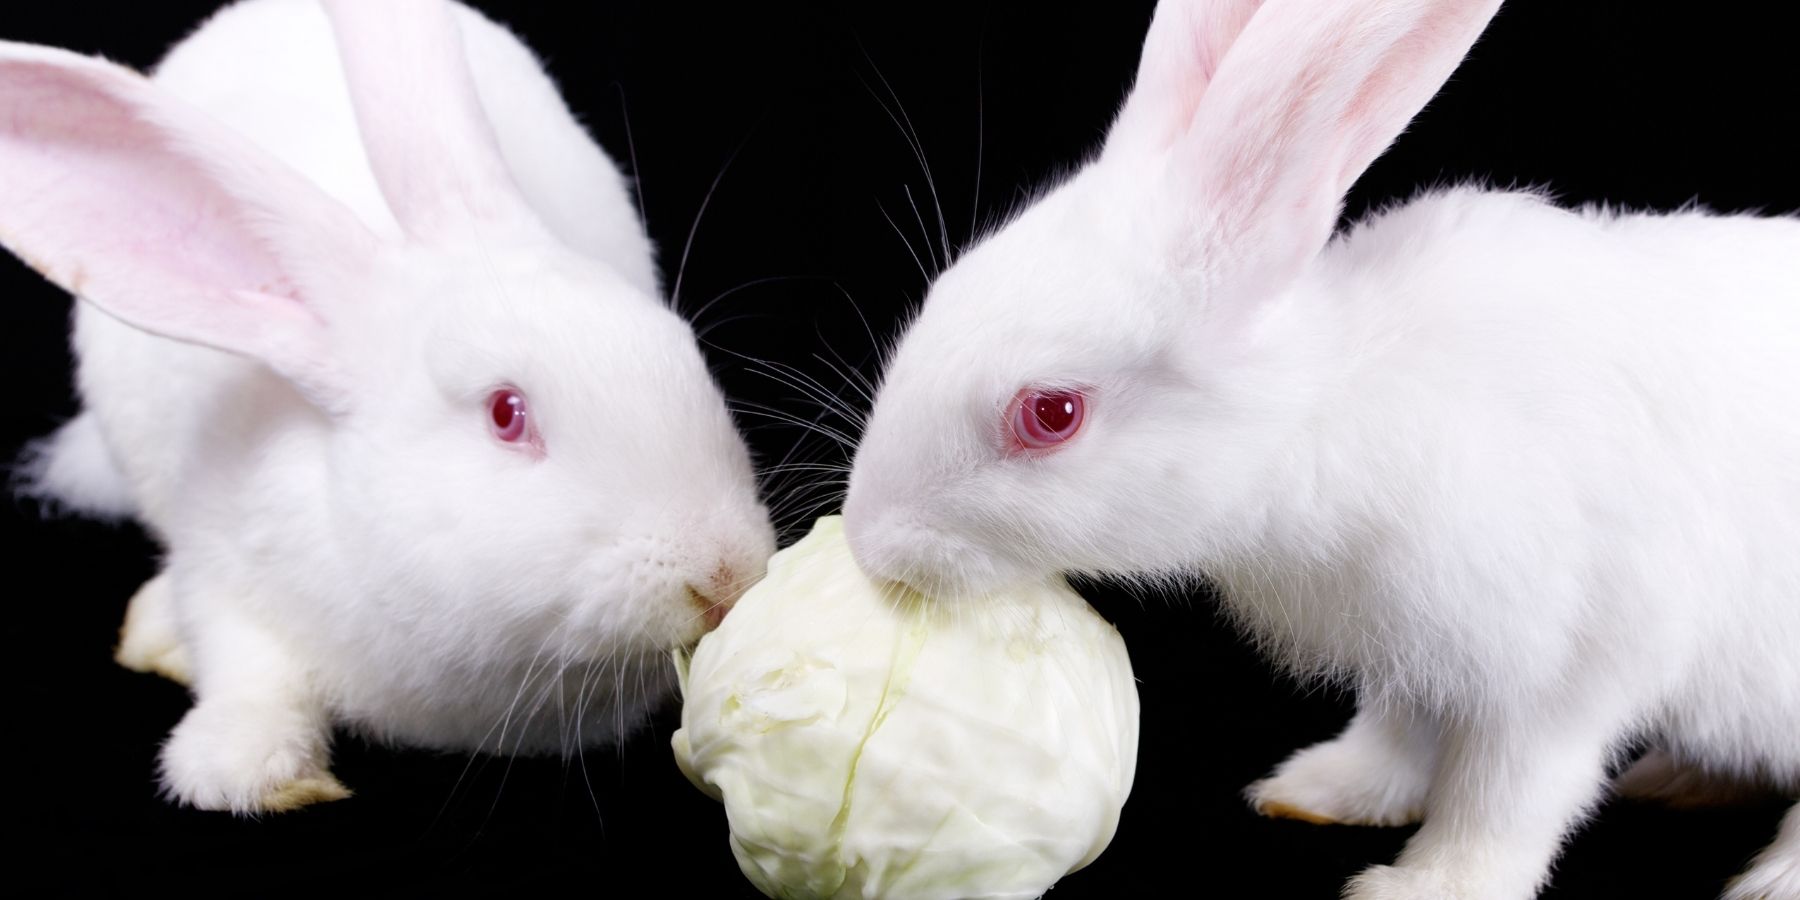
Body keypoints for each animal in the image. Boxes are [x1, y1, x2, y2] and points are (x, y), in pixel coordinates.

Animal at [0, 0, 766, 817]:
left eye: (681, 347)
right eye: (506, 413)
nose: (724, 578)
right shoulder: (224, 565)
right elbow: (246, 668)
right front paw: (246, 769)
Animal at [842, 1, 1800, 900]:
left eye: (1051, 413)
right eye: (943, 292)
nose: (868, 542)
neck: (1320, 414)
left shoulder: (1560, 665)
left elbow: (1504, 797)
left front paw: (1427, 886)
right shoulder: (1415, 657)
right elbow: (1397, 734)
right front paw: (1319, 793)